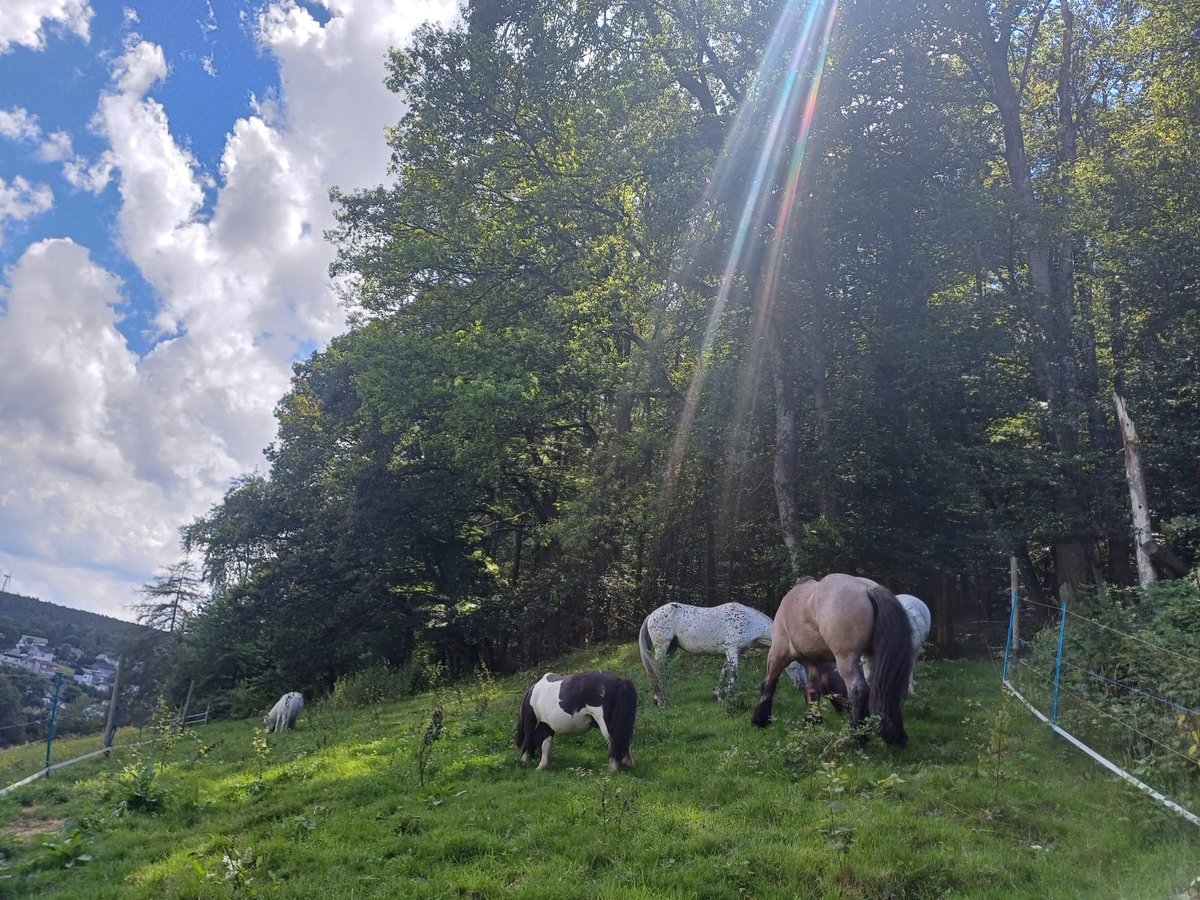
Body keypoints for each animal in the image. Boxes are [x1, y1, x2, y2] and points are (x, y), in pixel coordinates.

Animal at [638, 602, 806, 710]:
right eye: (797, 666)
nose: (802, 686)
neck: (749, 622)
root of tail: (651, 615)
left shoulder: (730, 651)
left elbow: (724, 671)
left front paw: (719, 695)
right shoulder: (732, 649)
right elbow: (734, 673)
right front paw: (729, 698)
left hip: (671, 649)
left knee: (663, 671)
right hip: (662, 646)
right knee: (656, 670)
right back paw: (661, 701)